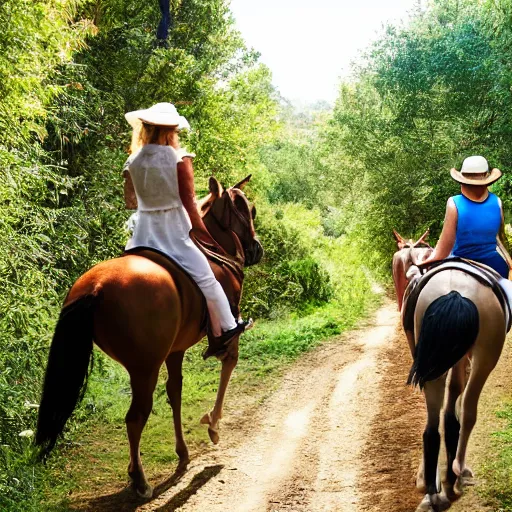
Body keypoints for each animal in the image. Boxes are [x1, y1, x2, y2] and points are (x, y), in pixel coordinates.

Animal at [35, 174, 264, 498]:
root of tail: (97, 286)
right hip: (145, 369)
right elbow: (228, 365)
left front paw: (183, 452)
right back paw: (140, 480)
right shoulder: (229, 333)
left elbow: (175, 393)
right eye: (246, 210)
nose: (256, 250)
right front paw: (213, 425)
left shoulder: (175, 350)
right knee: (136, 417)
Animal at [394, 233, 506, 512]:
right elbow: (456, 399)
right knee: (467, 409)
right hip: (487, 353)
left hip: (434, 365)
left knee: (432, 424)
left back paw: (432, 488)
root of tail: (456, 292)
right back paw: (457, 472)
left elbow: (450, 402)